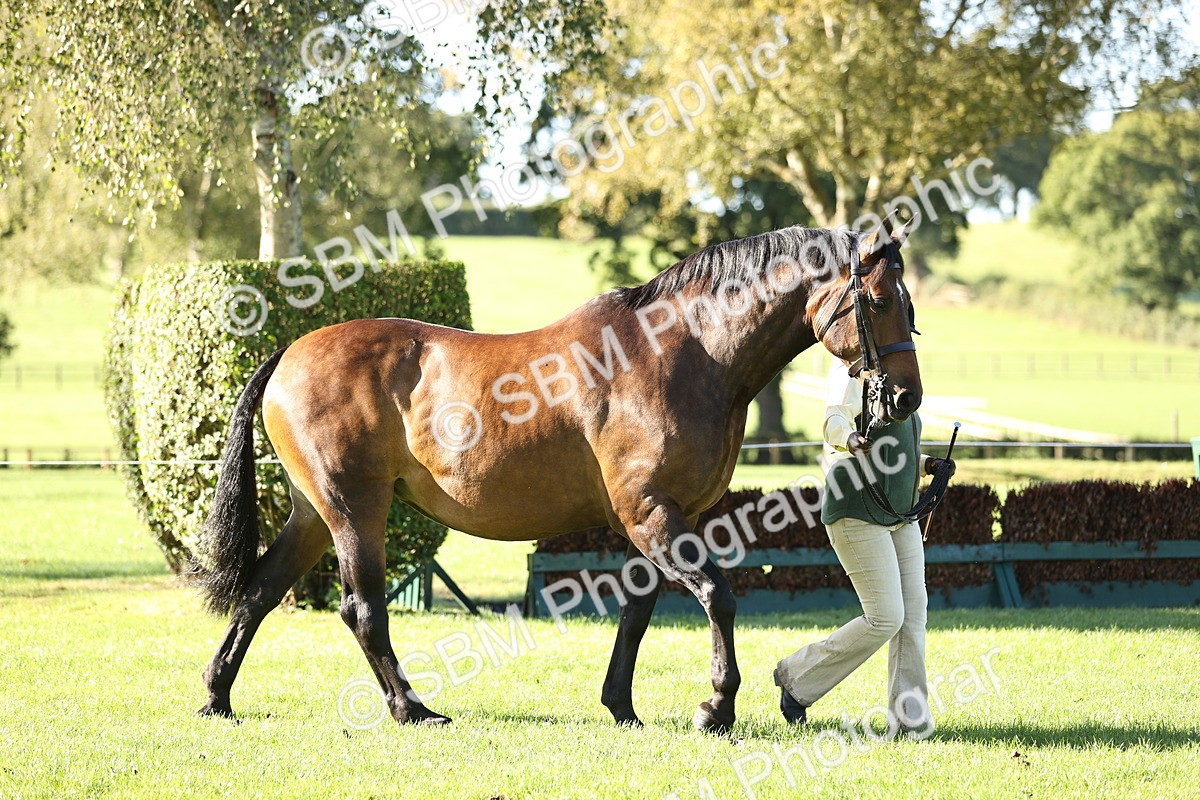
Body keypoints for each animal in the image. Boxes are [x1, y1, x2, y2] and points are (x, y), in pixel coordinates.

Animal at [196, 221, 923, 733]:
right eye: (880, 299)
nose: (906, 398)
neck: (683, 353)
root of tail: (290, 351)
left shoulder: (662, 517)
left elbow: (637, 611)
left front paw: (621, 706)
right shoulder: (651, 512)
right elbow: (717, 596)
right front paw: (716, 707)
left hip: (313, 513)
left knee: (259, 592)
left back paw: (217, 696)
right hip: (354, 510)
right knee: (361, 609)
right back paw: (412, 708)